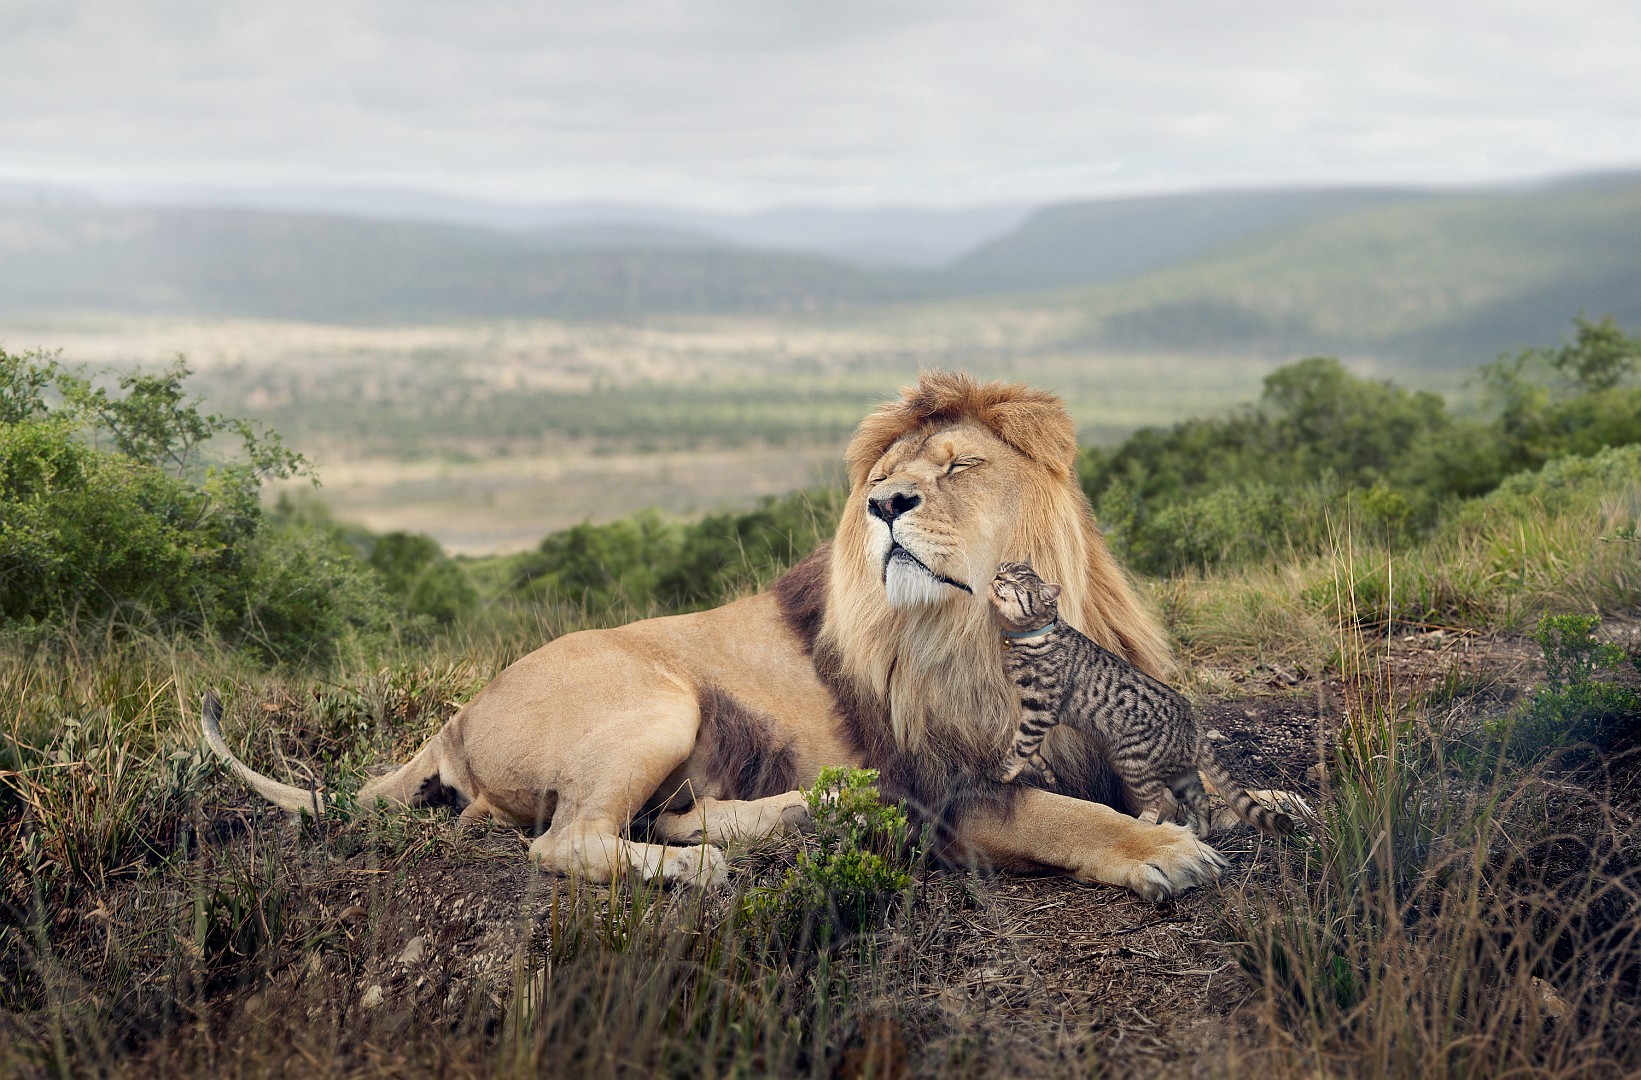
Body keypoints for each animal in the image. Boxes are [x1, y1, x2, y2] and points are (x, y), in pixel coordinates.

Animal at [205, 370, 1227, 899]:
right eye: (885, 478)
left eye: (959, 466)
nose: (883, 505)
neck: (978, 628)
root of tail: (454, 719)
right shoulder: (947, 792)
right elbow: (1061, 814)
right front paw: (1162, 852)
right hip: (658, 699)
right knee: (568, 841)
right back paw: (700, 866)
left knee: (656, 814)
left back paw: (801, 814)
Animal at [984, 558, 1293, 837]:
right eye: (1003, 568)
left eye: (1015, 582)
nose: (997, 577)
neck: (1031, 636)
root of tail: (1192, 720)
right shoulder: (1031, 710)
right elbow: (1029, 748)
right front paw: (1042, 769)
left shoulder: (1040, 709)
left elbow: (1020, 746)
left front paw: (1000, 774)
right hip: (1182, 776)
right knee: (1201, 798)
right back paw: (1200, 832)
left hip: (1134, 763)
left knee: (1155, 799)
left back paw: (1145, 824)